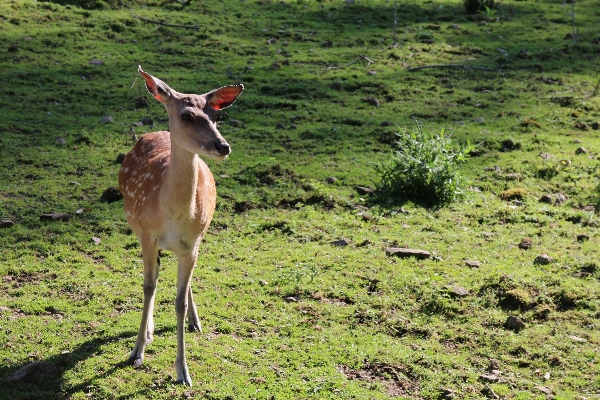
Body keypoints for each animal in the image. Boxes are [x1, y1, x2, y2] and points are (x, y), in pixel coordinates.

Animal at [119, 65, 244, 384]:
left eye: (217, 116)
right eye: (187, 115)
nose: (223, 146)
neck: (172, 215)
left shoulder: (191, 245)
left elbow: (178, 302)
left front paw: (183, 371)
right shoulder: (147, 235)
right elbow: (148, 287)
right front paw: (136, 351)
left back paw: (195, 322)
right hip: (136, 226)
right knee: (153, 277)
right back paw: (150, 332)